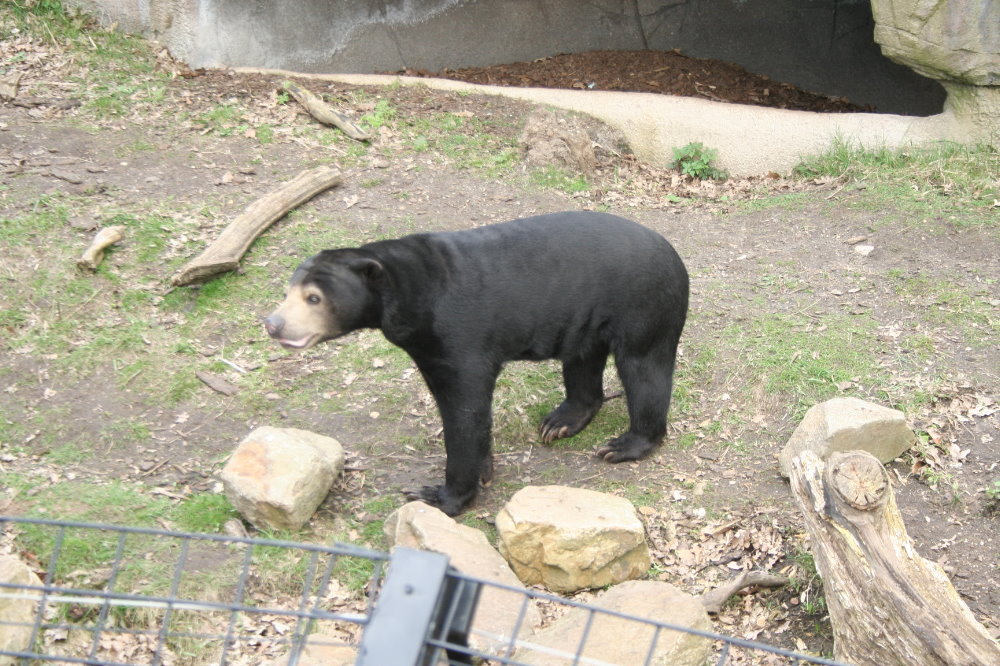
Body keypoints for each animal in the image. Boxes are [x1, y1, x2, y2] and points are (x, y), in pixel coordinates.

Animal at [265, 211, 689, 516]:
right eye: (287, 292)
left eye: (314, 298)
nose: (273, 324)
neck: (411, 297)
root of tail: (673, 253)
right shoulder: (429, 348)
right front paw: (483, 471)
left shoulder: (458, 337)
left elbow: (465, 411)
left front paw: (439, 495)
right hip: (585, 321)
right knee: (582, 364)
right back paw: (559, 422)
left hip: (643, 305)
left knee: (644, 371)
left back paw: (624, 445)